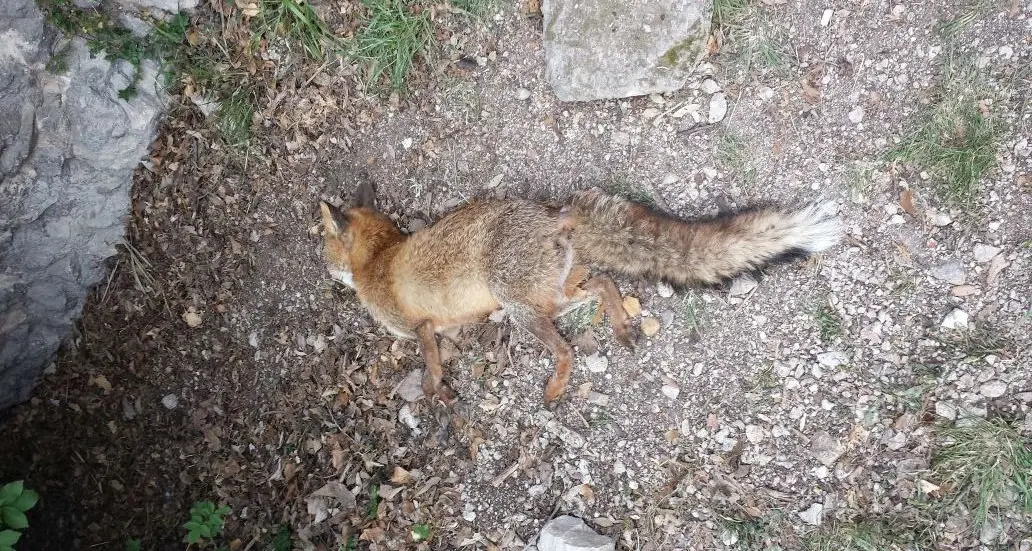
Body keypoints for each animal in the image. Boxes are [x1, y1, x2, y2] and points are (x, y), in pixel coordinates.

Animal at [319, 183, 840, 405]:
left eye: (323, 244)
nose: (324, 270)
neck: (380, 262)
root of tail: (553, 213)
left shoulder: (423, 328)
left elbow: (430, 364)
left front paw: (433, 393)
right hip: (551, 294)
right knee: (605, 283)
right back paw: (622, 327)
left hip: (521, 307)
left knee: (567, 348)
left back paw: (556, 389)